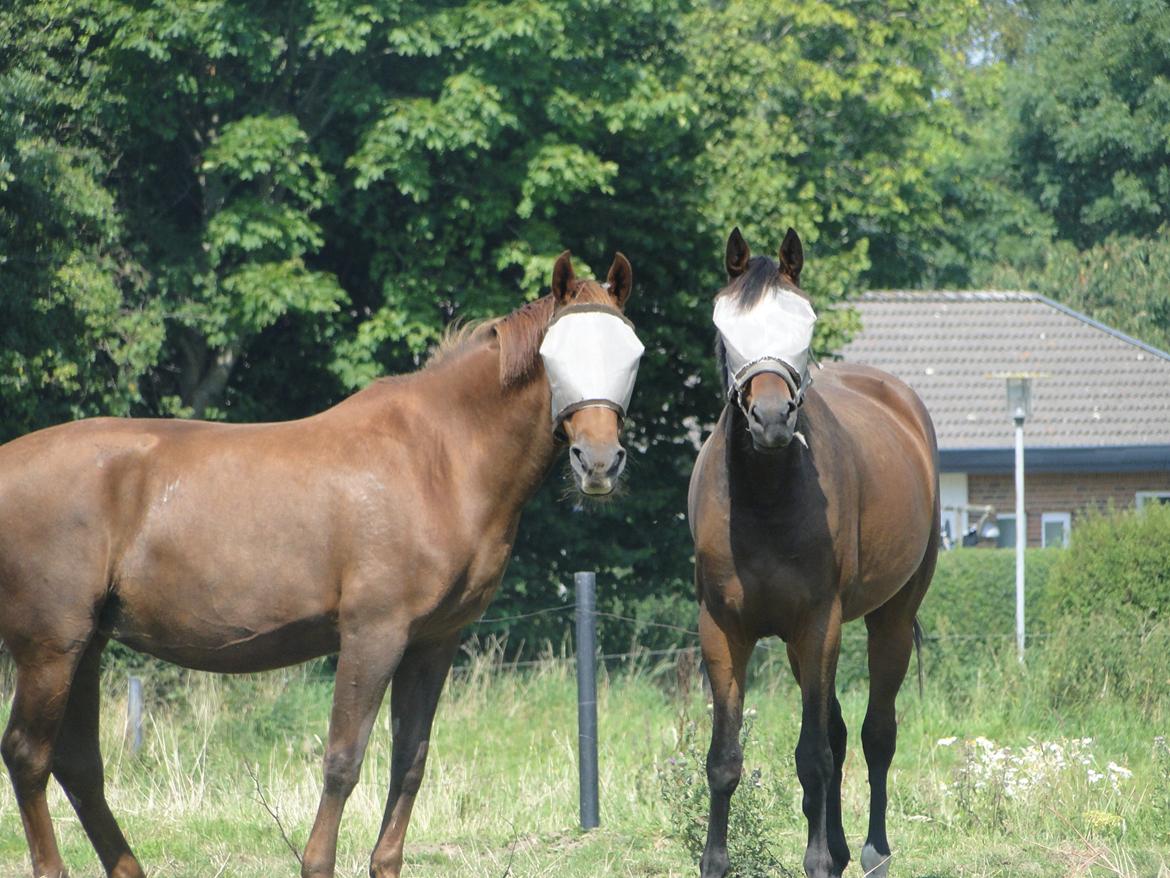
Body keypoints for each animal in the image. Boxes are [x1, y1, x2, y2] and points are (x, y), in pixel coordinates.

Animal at [0, 250, 636, 875]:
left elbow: (409, 762)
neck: (438, 458)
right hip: (50, 646)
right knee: (28, 755)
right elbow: (343, 760)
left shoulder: (434, 643)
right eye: (556, 354)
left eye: (631, 354)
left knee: (78, 764)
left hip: (87, 643)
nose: (599, 462)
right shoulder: (373, 635)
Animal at [687, 228, 935, 878]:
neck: (766, 499)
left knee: (876, 733)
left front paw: (818, 861)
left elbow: (815, 757)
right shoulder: (722, 630)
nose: (772, 419)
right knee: (842, 732)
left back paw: (872, 851)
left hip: (889, 619)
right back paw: (846, 847)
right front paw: (716, 862)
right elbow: (725, 759)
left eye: (806, 324)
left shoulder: (819, 625)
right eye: (725, 328)